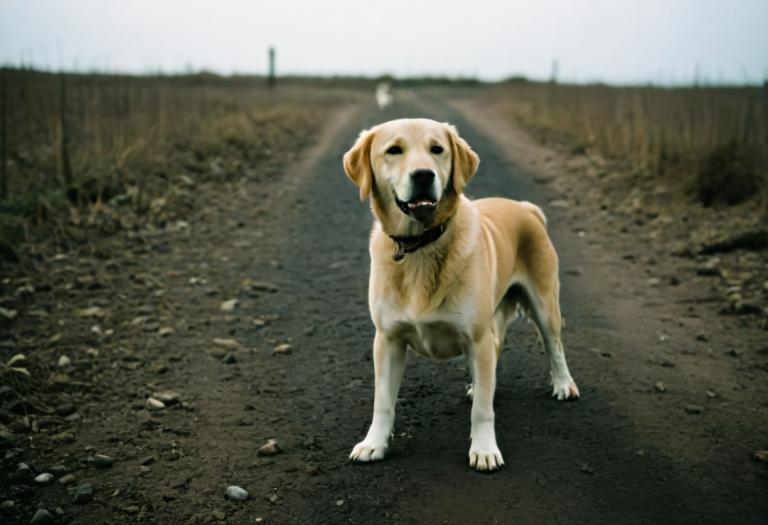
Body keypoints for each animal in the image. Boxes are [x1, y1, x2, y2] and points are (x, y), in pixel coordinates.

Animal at [342, 118, 576, 470]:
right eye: (394, 150)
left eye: (437, 149)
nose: (423, 175)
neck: (421, 246)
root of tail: (525, 208)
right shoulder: (387, 340)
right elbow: (382, 401)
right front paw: (374, 444)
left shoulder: (476, 338)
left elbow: (482, 410)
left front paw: (484, 449)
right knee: (497, 349)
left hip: (544, 305)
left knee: (554, 346)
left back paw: (563, 384)